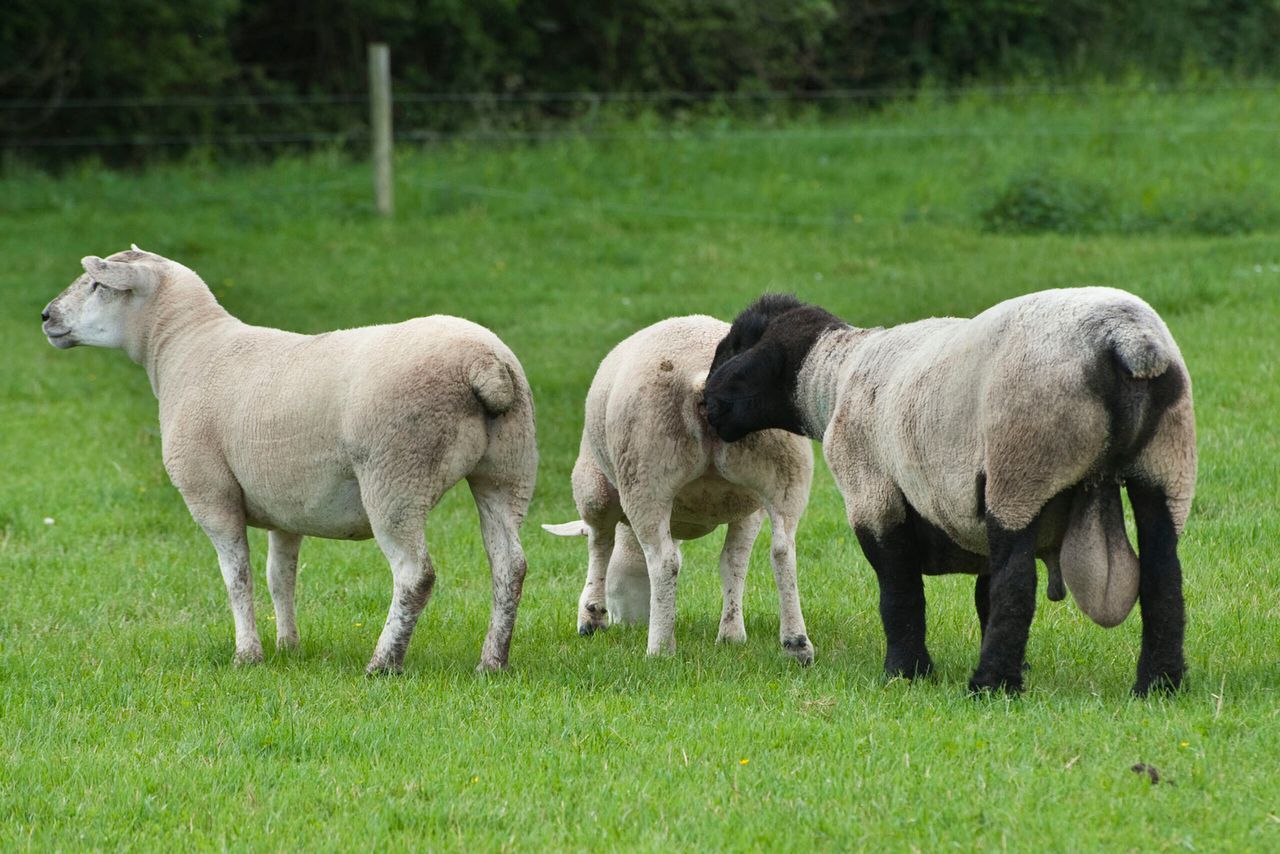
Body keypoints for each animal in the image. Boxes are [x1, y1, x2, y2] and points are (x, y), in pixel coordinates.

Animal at [40, 247, 537, 674]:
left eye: (97, 284)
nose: (46, 316)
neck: (182, 349)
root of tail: (483, 365)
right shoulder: (286, 505)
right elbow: (280, 576)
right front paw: (288, 647)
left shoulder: (210, 493)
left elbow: (237, 577)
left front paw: (248, 655)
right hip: (508, 469)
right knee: (509, 566)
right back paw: (492, 662)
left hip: (397, 474)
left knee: (415, 575)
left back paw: (383, 663)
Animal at [544, 315, 817, 662]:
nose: (625, 624)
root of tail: (705, 380)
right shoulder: (748, 508)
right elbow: (733, 563)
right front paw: (731, 635)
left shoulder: (595, 489)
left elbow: (599, 544)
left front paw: (591, 615)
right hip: (786, 469)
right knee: (783, 551)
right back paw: (796, 643)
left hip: (644, 468)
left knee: (663, 561)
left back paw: (659, 648)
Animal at [703, 290, 1196, 695]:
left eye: (734, 346)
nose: (704, 404)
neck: (831, 379)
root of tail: (1126, 340)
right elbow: (983, 598)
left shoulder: (873, 497)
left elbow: (901, 593)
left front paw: (907, 672)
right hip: (1165, 464)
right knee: (1163, 577)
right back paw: (1158, 684)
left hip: (1022, 462)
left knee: (1019, 584)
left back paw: (990, 685)